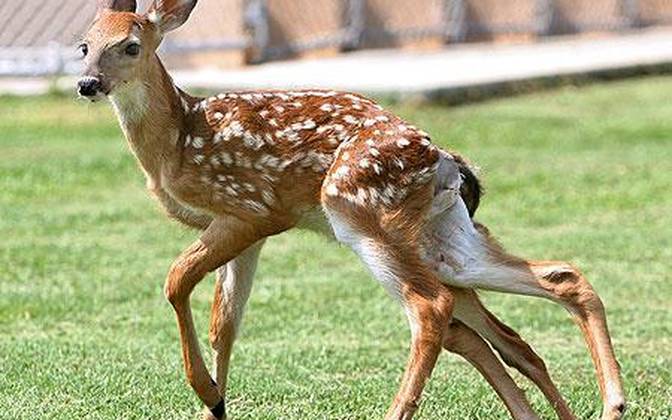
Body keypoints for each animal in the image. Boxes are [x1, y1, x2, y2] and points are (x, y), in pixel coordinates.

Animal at [77, 0, 624, 420]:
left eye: (131, 45)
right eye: (83, 45)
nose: (86, 83)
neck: (177, 142)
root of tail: (443, 157)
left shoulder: (251, 209)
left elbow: (175, 282)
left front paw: (208, 393)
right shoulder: (245, 231)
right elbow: (225, 324)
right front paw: (215, 405)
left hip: (362, 214)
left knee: (433, 310)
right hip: (443, 238)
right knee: (553, 280)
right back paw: (607, 403)